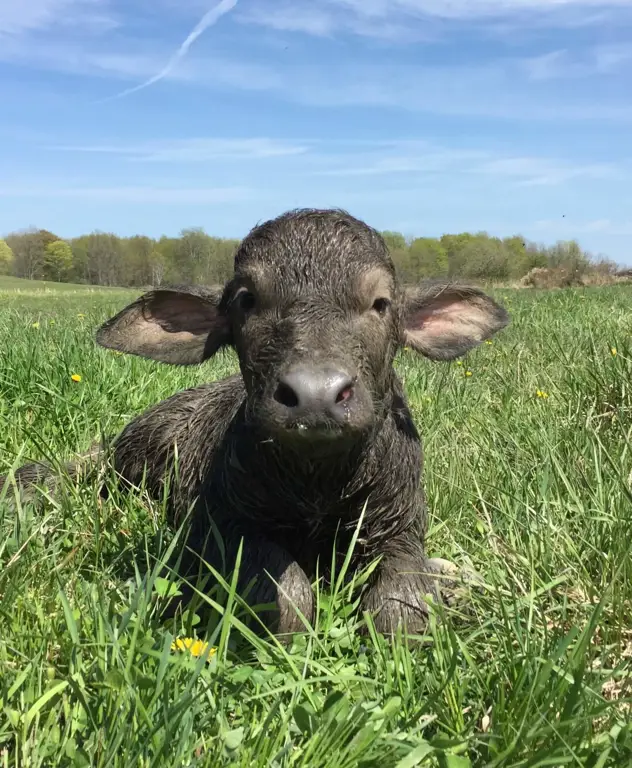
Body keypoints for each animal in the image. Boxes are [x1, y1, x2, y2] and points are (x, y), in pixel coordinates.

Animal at [1, 208, 508, 636]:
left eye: (381, 303)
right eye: (247, 300)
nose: (316, 395)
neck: (317, 480)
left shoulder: (401, 531)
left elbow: (402, 608)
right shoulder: (220, 528)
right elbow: (290, 589)